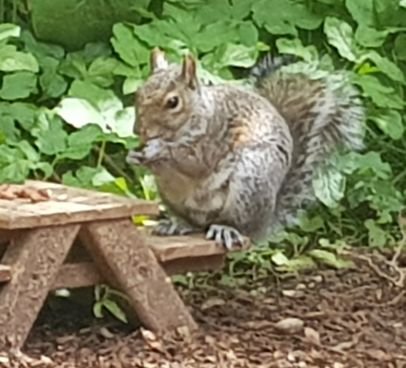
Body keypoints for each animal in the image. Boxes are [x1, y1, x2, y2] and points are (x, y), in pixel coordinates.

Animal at [127, 48, 364, 250]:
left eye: (173, 102)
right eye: (138, 92)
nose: (139, 130)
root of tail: (265, 224)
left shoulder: (214, 139)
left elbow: (194, 161)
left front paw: (158, 149)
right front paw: (134, 156)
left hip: (251, 180)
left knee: (241, 226)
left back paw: (226, 229)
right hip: (172, 195)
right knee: (197, 224)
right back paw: (179, 224)